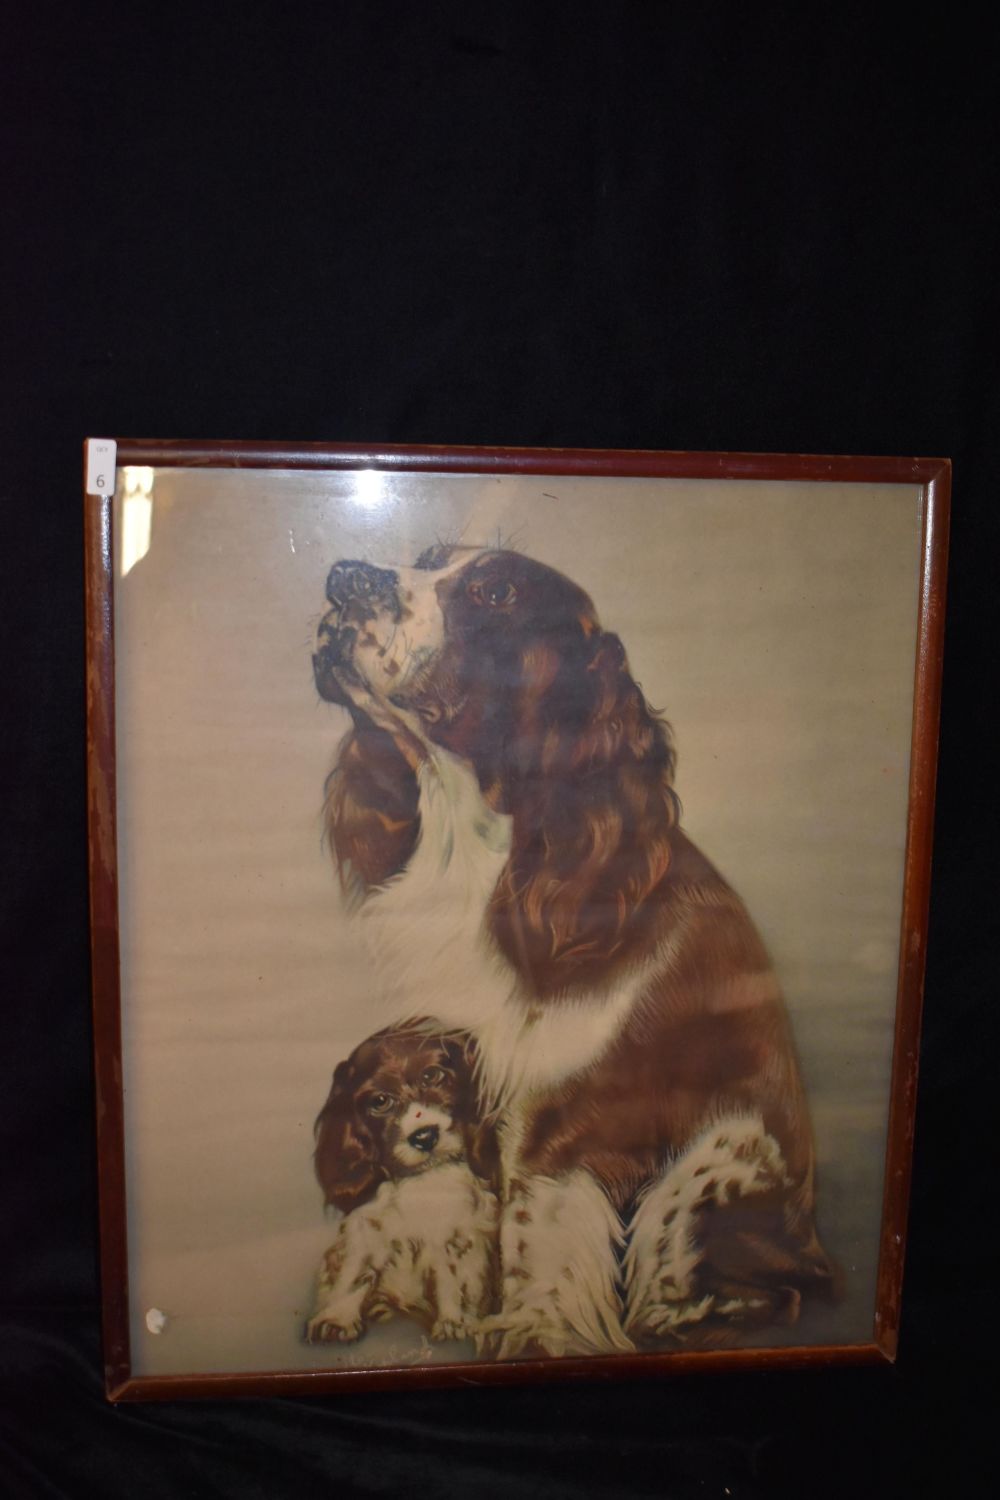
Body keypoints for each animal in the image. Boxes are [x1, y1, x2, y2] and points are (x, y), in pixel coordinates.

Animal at [306, 1027, 499, 1346]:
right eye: (380, 1101)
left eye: (432, 1075)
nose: (424, 1137)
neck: (419, 1180)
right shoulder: (367, 1228)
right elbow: (354, 1273)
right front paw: (336, 1320)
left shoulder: (456, 1234)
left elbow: (453, 1277)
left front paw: (455, 1322)